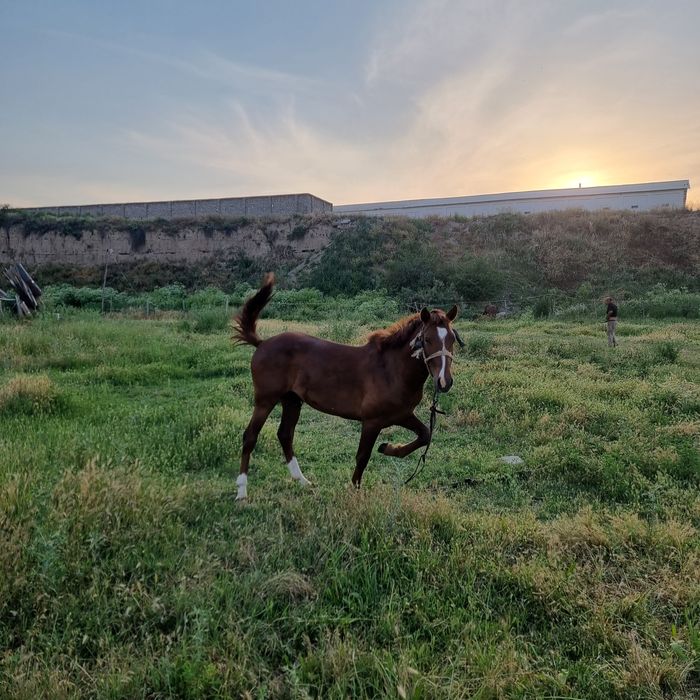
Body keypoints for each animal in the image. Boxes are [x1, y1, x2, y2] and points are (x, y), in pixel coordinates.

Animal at [232, 273, 459, 500]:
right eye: (427, 339)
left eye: (452, 339)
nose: (444, 381)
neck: (391, 370)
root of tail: (262, 343)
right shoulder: (372, 421)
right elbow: (362, 457)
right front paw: (355, 492)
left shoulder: (402, 414)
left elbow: (425, 435)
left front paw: (388, 448)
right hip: (265, 400)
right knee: (250, 436)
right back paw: (242, 492)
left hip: (292, 400)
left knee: (285, 435)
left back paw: (303, 481)